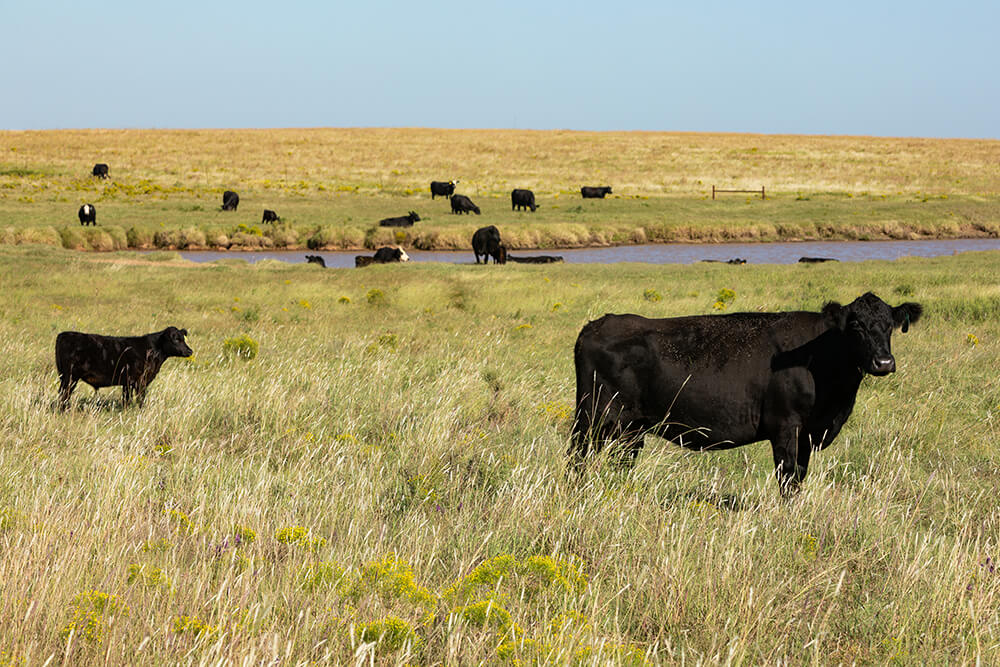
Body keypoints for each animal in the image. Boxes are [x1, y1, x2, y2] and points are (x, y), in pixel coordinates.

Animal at [56, 326, 193, 410]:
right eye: (176, 339)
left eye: (183, 338)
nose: (189, 351)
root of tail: (65, 334)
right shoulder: (138, 380)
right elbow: (139, 398)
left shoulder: (128, 382)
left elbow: (127, 399)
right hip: (70, 377)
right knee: (64, 395)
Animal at [572, 294, 920, 496]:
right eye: (856, 326)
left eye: (889, 325)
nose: (884, 362)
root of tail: (598, 324)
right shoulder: (786, 427)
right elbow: (788, 478)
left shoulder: (807, 434)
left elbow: (800, 477)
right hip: (592, 417)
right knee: (577, 457)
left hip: (631, 427)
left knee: (620, 461)